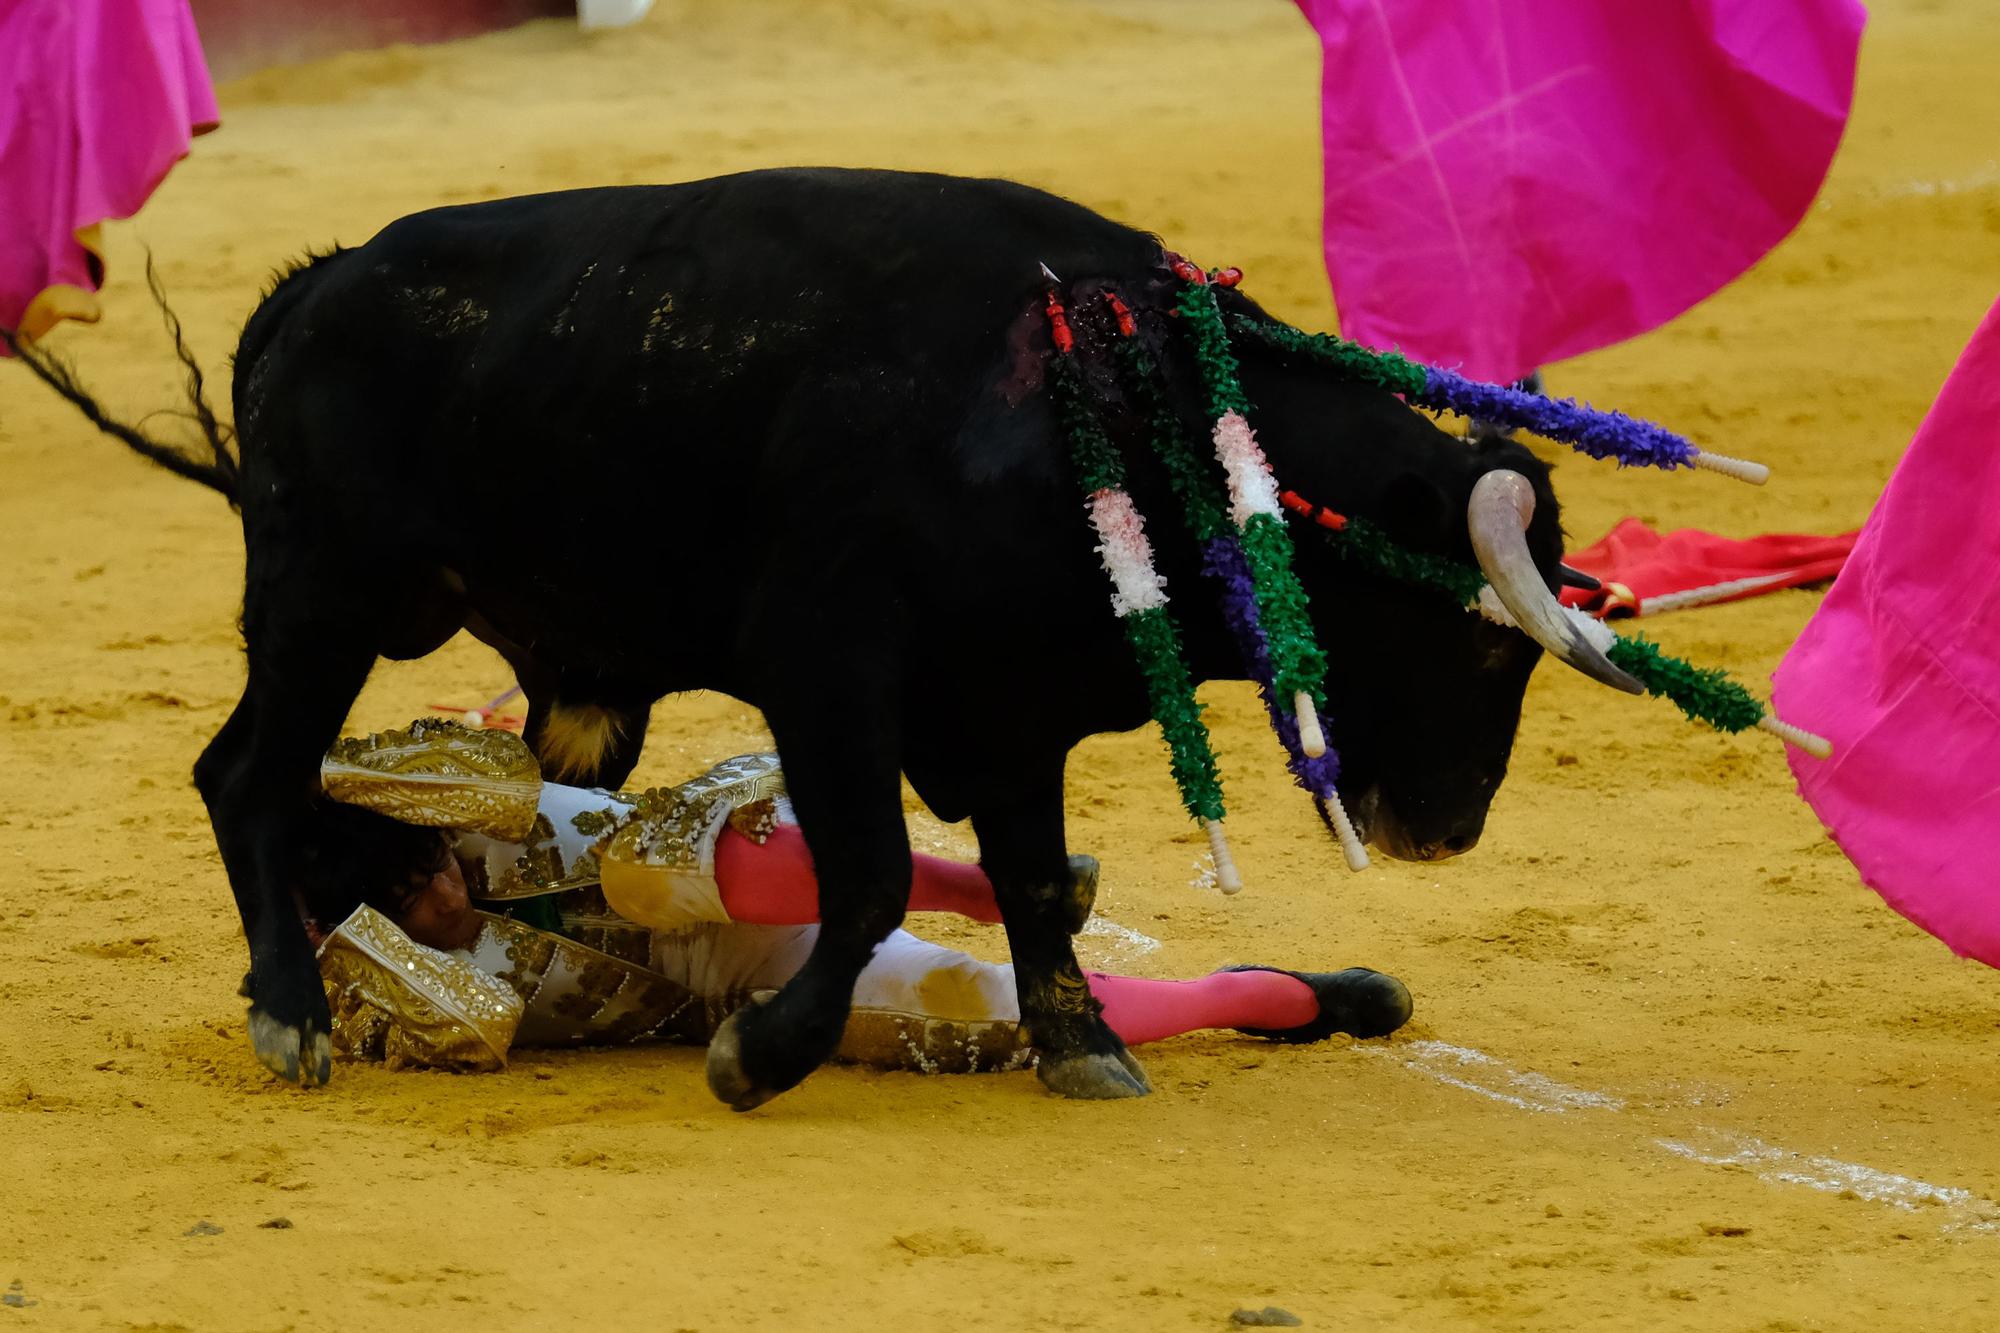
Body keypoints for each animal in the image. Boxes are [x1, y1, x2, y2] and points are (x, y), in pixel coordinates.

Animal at [3, 166, 1576, 1096]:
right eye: (1488, 643)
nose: (1448, 831)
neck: (1103, 400)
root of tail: (305, 290)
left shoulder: (1011, 704)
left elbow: (1023, 874)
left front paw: (1080, 1045)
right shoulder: (831, 669)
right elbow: (868, 871)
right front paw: (760, 1055)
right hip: (323, 603)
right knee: (250, 775)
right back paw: (289, 1015)